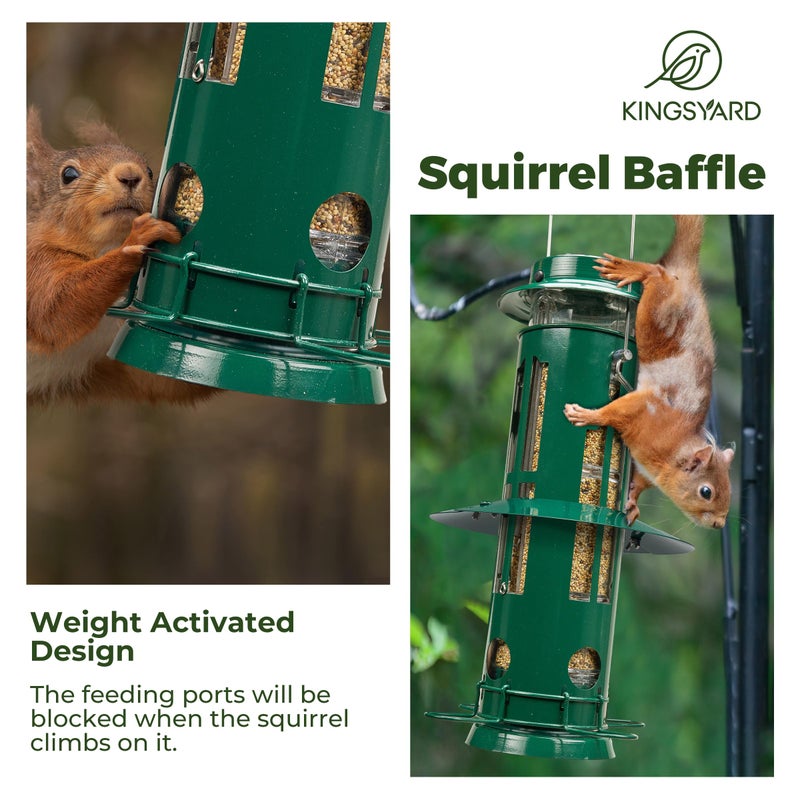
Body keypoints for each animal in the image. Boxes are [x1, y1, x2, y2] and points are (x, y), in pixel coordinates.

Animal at [27, 106, 216, 405]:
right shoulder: (34, 266)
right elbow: (54, 310)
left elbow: (167, 381)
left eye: (150, 171)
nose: (130, 174)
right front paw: (138, 239)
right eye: (68, 174)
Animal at [563, 215, 734, 529]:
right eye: (706, 491)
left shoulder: (645, 465)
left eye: (728, 488)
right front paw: (589, 416)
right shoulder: (646, 411)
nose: (719, 524)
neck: (674, 447)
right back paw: (635, 270)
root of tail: (687, 274)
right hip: (657, 315)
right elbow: (614, 412)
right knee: (658, 274)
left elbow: (639, 482)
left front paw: (631, 502)